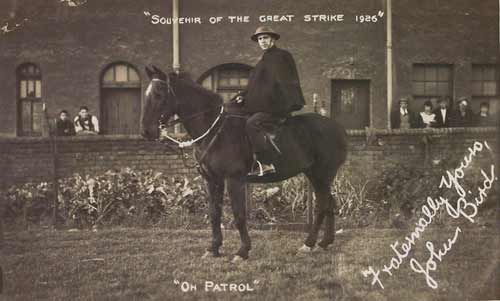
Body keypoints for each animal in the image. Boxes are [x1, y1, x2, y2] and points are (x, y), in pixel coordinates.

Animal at [142, 65, 348, 260]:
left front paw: (242, 251)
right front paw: (213, 248)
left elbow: (239, 214)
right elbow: (214, 214)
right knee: (329, 202)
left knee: (322, 206)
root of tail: (337, 127)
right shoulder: (212, 180)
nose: (146, 132)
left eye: (159, 94)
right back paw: (325, 242)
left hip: (322, 174)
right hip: (314, 174)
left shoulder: (234, 180)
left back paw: (308, 244)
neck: (215, 130)